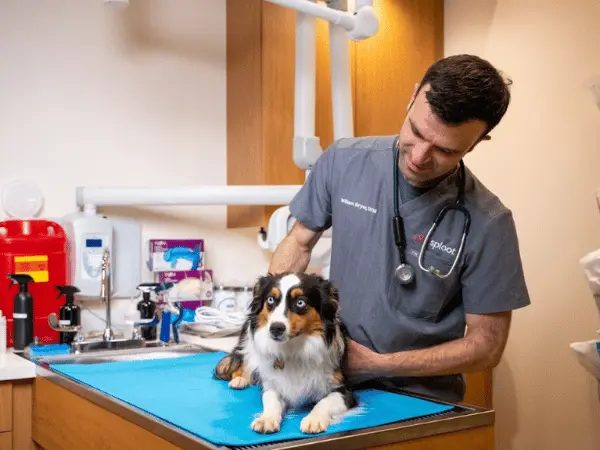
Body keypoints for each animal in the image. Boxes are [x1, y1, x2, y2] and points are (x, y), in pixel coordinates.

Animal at [214, 270, 356, 432]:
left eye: (300, 302)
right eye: (270, 300)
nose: (276, 328)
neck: (294, 348)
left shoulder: (344, 390)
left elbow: (324, 402)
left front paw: (314, 419)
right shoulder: (272, 384)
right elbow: (271, 400)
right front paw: (266, 419)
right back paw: (240, 379)